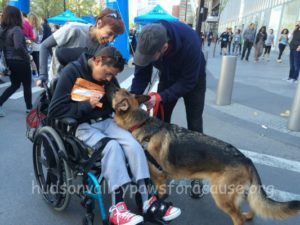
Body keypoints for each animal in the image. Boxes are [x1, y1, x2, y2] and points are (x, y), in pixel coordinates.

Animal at [108, 87, 300, 225]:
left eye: (118, 91)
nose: (110, 85)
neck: (140, 124)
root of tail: (245, 158)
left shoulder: (160, 179)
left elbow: (159, 197)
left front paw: (157, 212)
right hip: (242, 191)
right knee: (253, 207)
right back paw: (249, 215)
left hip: (221, 196)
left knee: (237, 217)